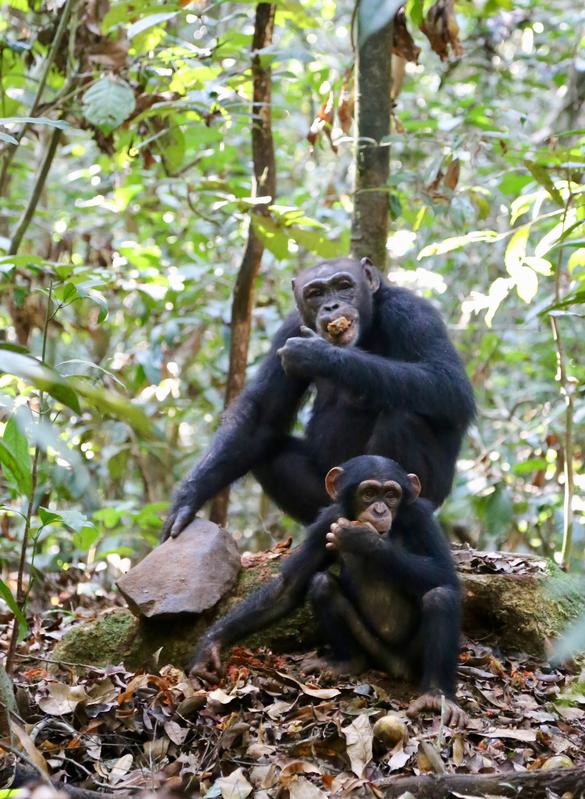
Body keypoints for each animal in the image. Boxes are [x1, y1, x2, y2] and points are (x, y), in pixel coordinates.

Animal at [161, 260, 474, 540]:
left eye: (344, 286)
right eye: (316, 293)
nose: (332, 306)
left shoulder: (411, 312)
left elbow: (447, 382)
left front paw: (319, 354)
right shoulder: (288, 329)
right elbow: (261, 415)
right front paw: (189, 498)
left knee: (403, 416)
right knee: (271, 453)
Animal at [190, 456, 466, 724]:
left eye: (391, 495)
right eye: (368, 493)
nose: (380, 510)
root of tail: (397, 666)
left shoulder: (421, 516)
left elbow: (445, 573)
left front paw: (362, 539)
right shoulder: (326, 520)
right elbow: (289, 586)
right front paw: (210, 644)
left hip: (413, 657)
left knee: (440, 597)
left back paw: (435, 695)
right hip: (374, 649)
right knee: (321, 584)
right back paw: (346, 662)